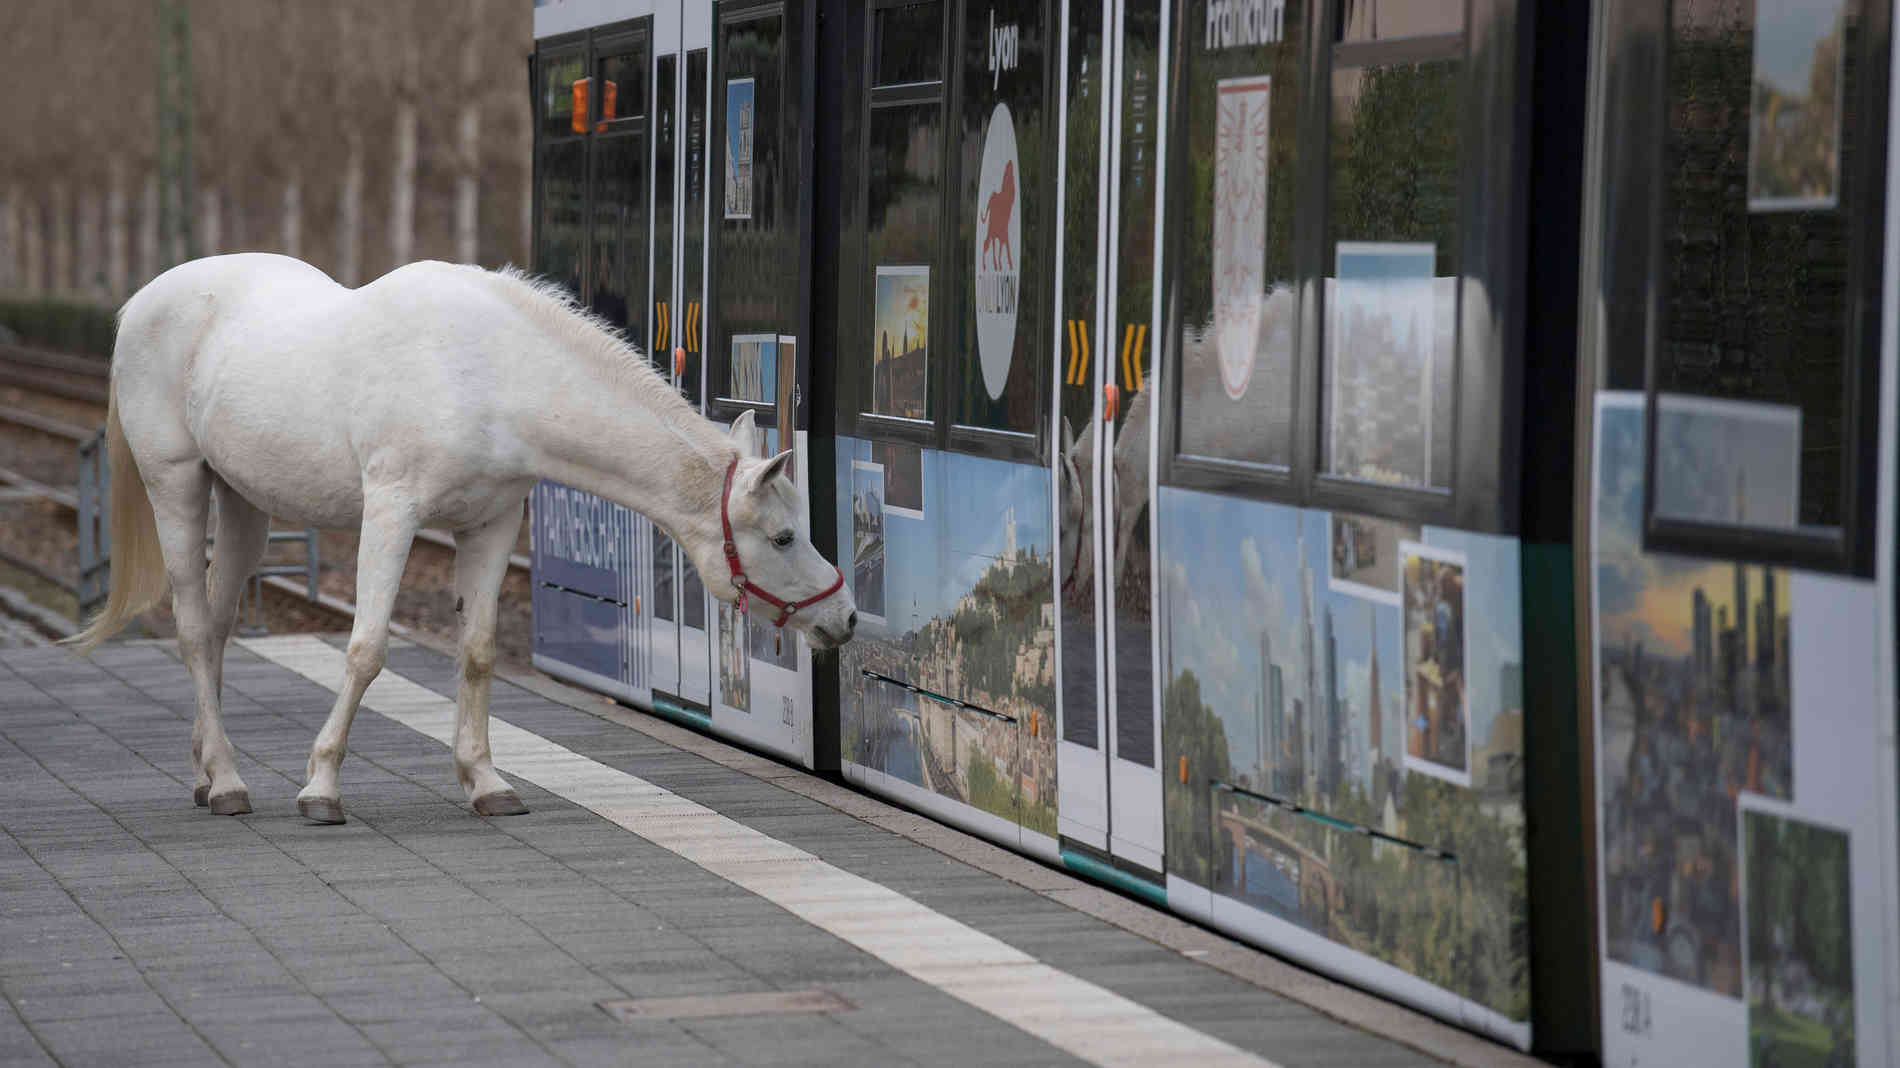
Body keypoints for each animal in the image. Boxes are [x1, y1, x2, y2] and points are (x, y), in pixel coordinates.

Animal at [66, 252, 855, 817]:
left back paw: (210, 771)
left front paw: (485, 782)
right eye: (783, 538)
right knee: (193, 628)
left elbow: (476, 653)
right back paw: (229, 782)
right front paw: (321, 787)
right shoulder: (392, 513)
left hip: (244, 502)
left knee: (219, 624)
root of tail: (141, 302)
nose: (844, 618)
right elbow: (366, 649)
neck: (492, 374)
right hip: (178, 485)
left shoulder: (491, 525)